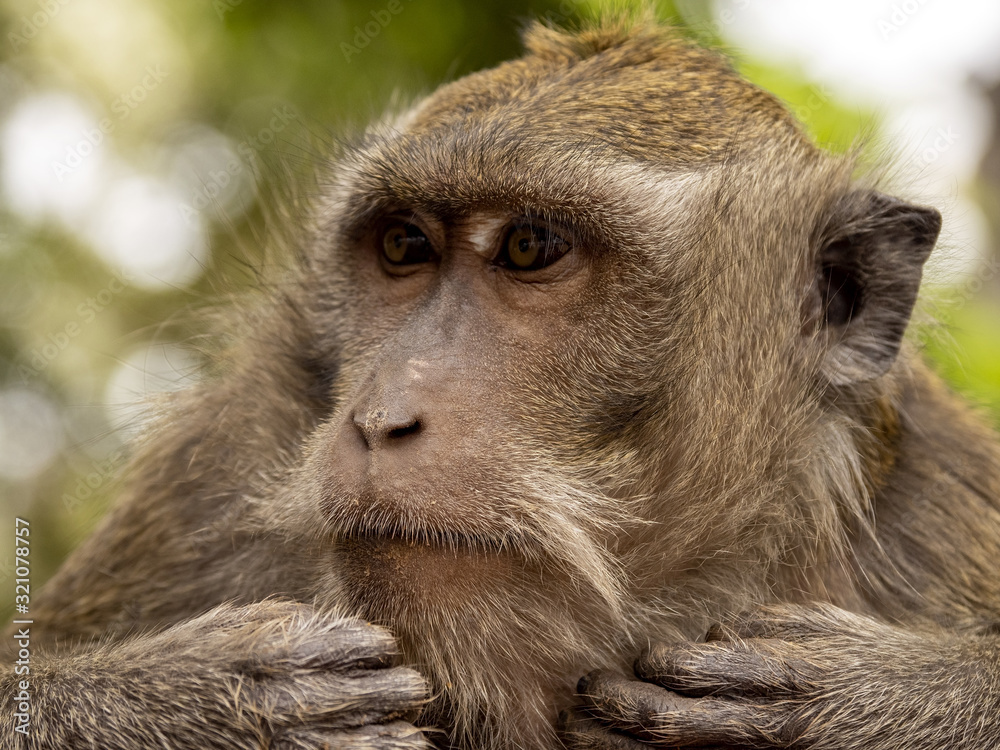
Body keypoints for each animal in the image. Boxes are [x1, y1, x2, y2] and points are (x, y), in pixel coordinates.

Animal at [4, 11, 1000, 750]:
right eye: (405, 245)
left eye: (531, 246)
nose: (381, 416)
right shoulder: (226, 460)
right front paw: (205, 704)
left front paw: (862, 705)